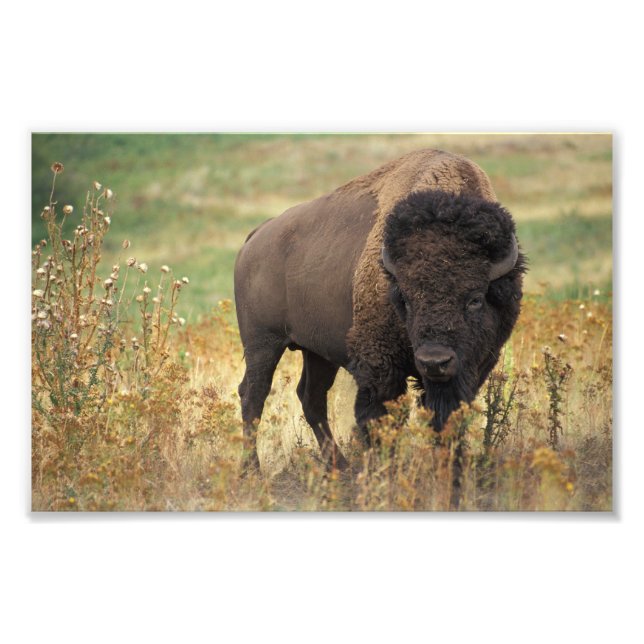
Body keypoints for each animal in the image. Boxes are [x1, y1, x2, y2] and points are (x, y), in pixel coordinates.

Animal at [234, 149, 526, 470]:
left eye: (475, 298)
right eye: (406, 299)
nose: (434, 361)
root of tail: (256, 236)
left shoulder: (472, 367)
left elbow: (447, 418)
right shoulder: (380, 367)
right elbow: (379, 420)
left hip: (317, 351)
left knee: (311, 397)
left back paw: (340, 467)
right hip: (262, 343)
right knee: (254, 395)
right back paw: (252, 469)